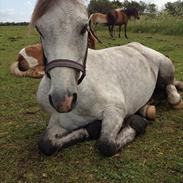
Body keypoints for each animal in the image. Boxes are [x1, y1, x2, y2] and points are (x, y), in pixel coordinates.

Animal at [30, 0, 183, 157]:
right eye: (39, 29)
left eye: (84, 28)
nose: (63, 100)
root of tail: (139, 46)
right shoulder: (60, 120)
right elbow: (46, 143)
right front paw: (92, 128)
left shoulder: (114, 111)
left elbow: (106, 144)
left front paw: (136, 122)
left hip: (165, 67)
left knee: (171, 89)